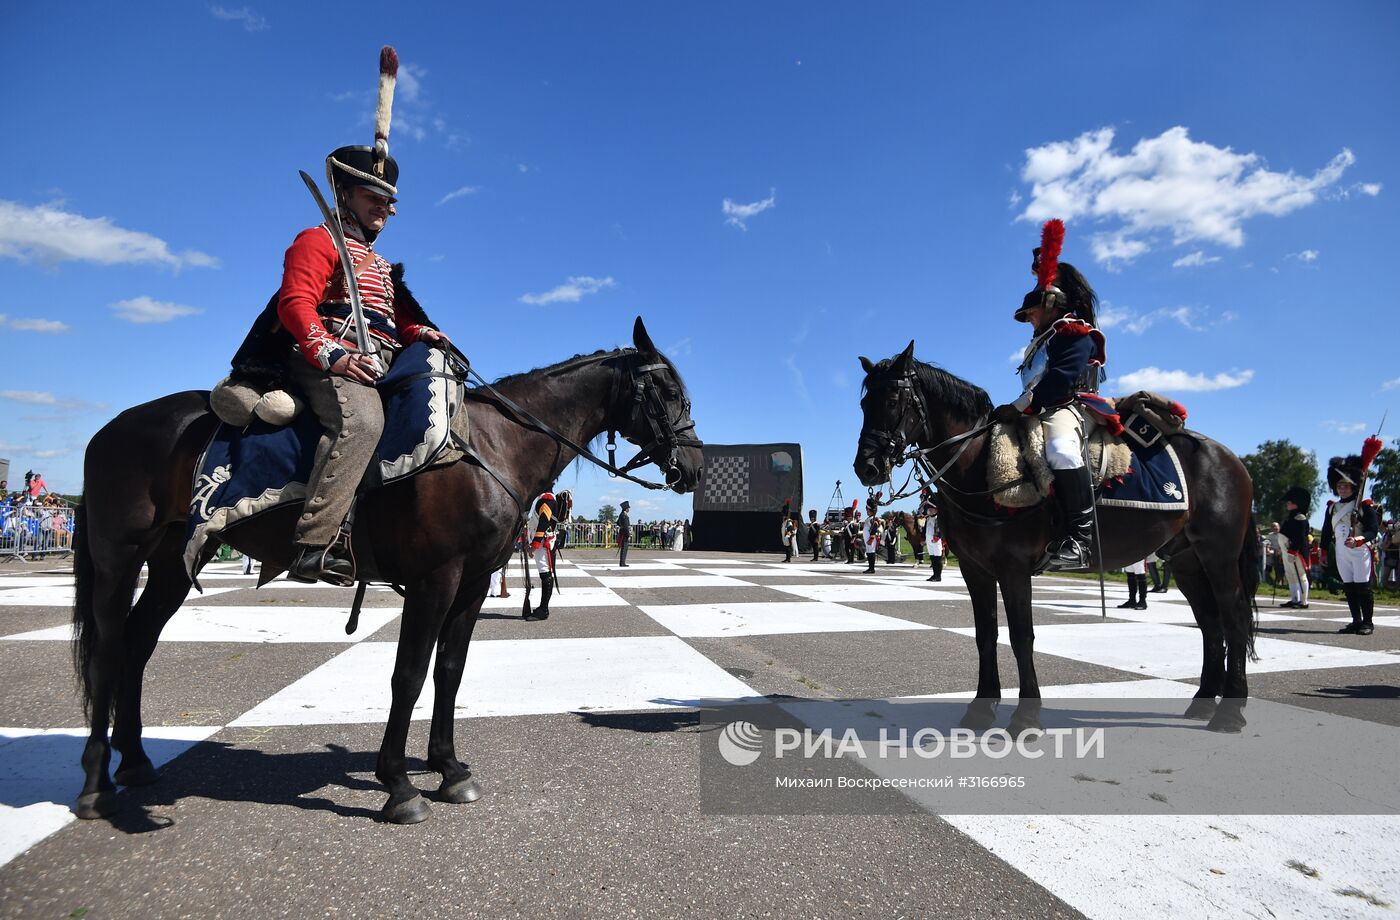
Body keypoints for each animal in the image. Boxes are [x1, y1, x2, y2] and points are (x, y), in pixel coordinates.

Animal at [69, 319, 700, 823]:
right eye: (668, 390)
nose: (693, 466)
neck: (492, 446)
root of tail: (109, 429)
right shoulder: (434, 581)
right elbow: (410, 675)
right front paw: (398, 784)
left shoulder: (472, 586)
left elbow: (450, 672)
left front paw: (448, 769)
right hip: (118, 556)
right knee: (108, 651)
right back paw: (97, 785)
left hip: (173, 563)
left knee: (137, 645)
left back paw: (137, 762)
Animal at [851, 343, 1260, 733]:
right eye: (864, 403)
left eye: (892, 399)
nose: (866, 467)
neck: (980, 465)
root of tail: (1231, 458)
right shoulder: (974, 569)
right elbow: (986, 634)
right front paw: (981, 710)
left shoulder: (1013, 569)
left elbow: (1021, 636)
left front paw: (1026, 717)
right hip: (1186, 560)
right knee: (1210, 622)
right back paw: (1203, 701)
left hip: (1218, 555)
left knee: (1235, 617)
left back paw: (1230, 712)